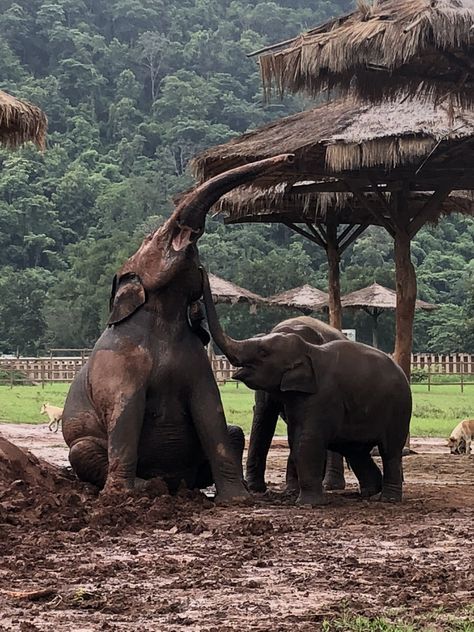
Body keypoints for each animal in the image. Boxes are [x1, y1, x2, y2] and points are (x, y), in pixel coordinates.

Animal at [61, 154, 294, 504]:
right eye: (151, 238)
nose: (289, 158)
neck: (165, 317)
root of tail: (176, 482)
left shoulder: (197, 361)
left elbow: (210, 411)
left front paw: (237, 500)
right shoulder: (118, 363)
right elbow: (126, 413)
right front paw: (122, 498)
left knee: (235, 431)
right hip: (81, 444)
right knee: (82, 450)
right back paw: (150, 487)